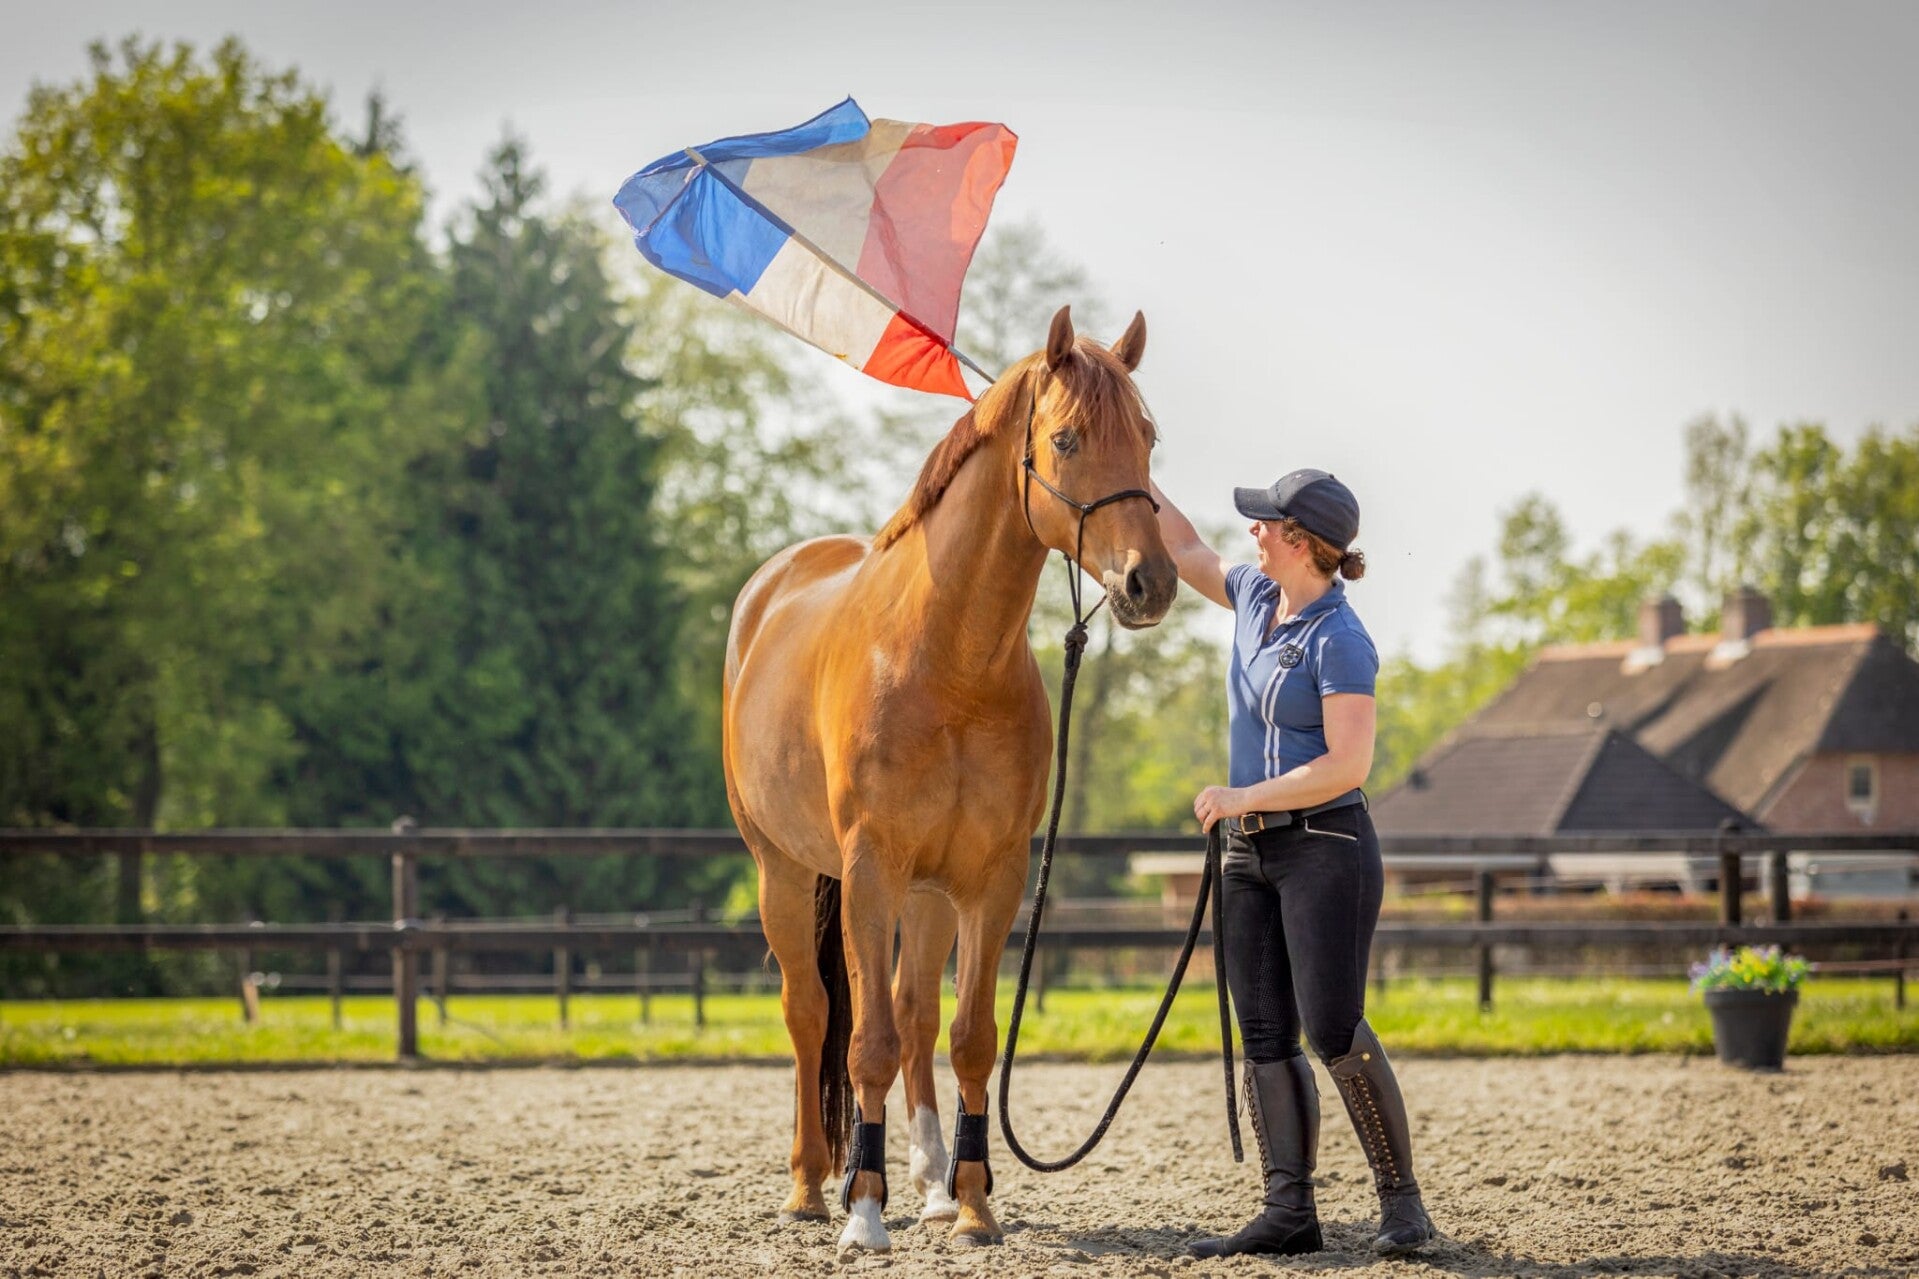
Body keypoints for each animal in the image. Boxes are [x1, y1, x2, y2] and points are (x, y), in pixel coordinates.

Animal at [722, 306, 1177, 1255]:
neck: (948, 660)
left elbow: (967, 1036)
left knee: (912, 1012)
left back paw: (928, 1183)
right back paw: (812, 1185)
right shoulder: (870, 869)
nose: (1147, 583)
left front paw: (971, 1203)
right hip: (786, 871)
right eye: (1067, 438)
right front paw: (864, 1212)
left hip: (926, 891)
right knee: (811, 1012)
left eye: (1148, 437)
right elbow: (862, 1041)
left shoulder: (990, 876)